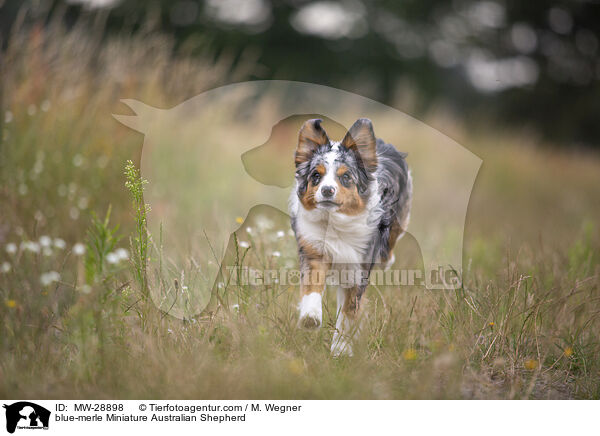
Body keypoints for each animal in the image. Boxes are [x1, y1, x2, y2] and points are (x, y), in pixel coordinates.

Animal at [288, 117, 410, 356]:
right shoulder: (314, 251)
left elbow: (347, 312)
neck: (336, 223)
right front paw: (310, 317)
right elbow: (312, 285)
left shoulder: (358, 270)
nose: (327, 190)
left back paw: (386, 259)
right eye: (316, 176)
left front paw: (341, 349)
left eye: (345, 177)